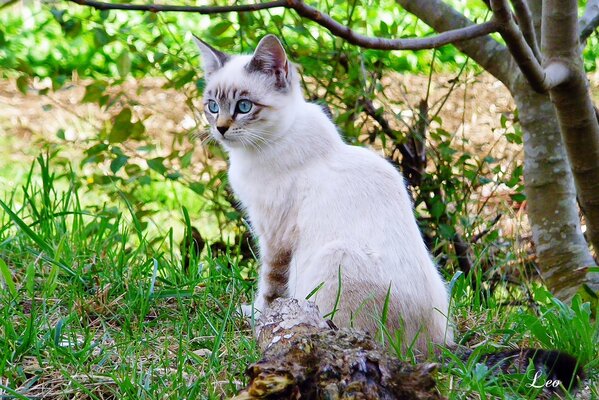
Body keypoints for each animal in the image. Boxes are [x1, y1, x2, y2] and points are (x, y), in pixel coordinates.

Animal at [195, 34, 452, 354]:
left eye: (243, 106)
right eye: (213, 106)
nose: (220, 129)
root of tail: (436, 347)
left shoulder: (275, 235)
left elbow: (269, 286)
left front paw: (258, 317)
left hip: (335, 256)